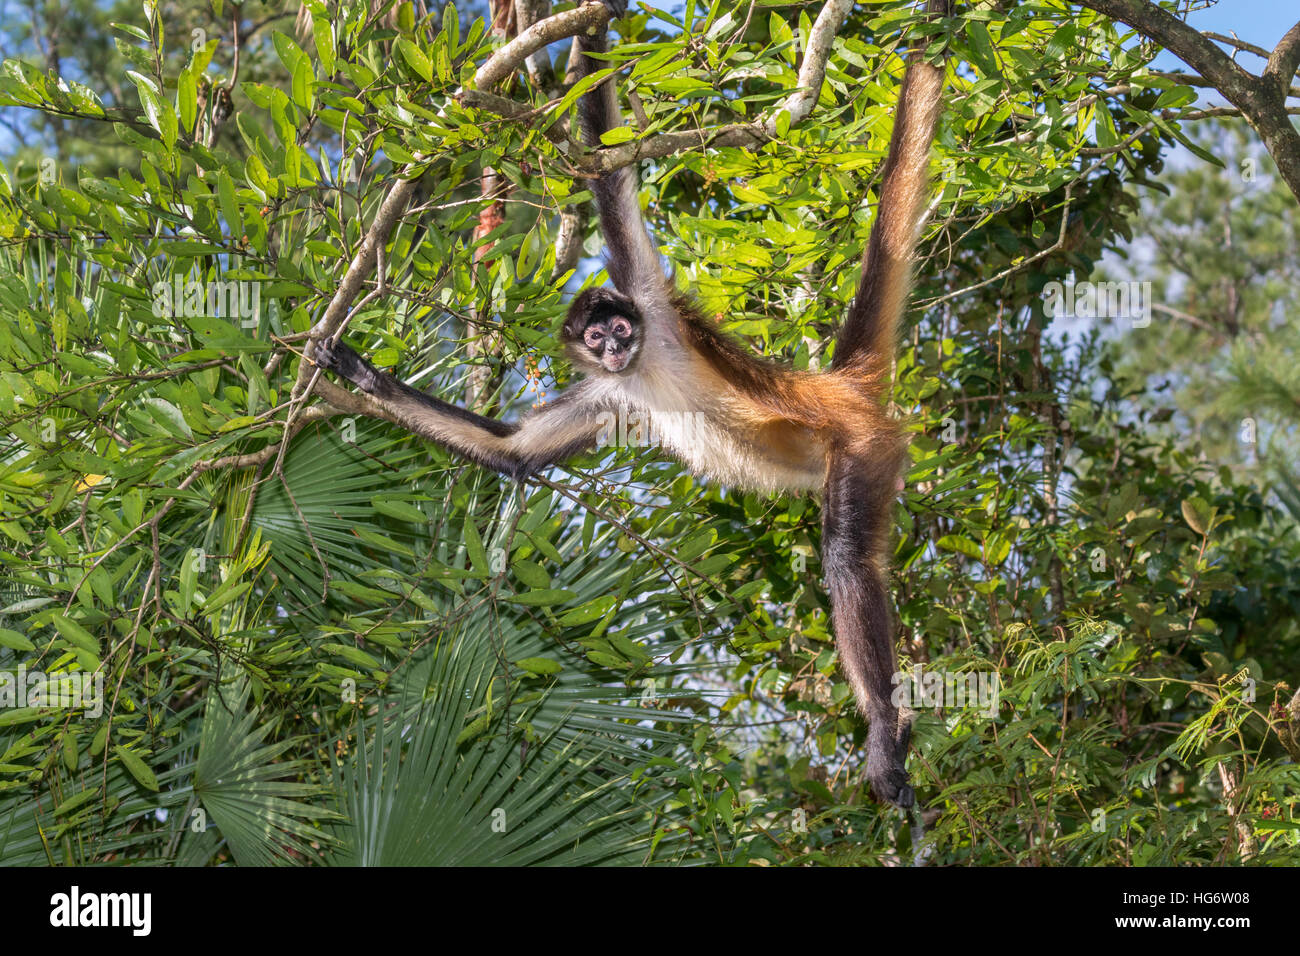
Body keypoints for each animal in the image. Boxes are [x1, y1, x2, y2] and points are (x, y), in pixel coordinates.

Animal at [314, 0, 946, 806]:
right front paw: (363, 375)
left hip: (860, 448)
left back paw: (884, 734)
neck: (644, 368)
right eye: (597, 338)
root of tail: (837, 386)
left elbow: (610, 172)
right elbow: (514, 454)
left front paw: (593, 28)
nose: (614, 346)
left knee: (846, 559)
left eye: (620, 328)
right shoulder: (608, 395)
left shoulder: (650, 300)